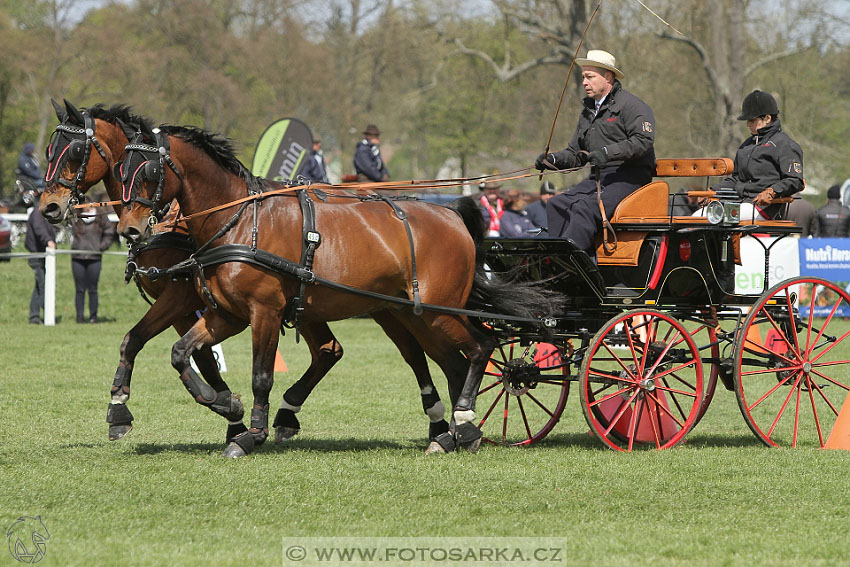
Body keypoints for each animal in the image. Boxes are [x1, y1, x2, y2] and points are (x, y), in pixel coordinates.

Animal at [117, 122, 556, 460]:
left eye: (149, 171)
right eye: (122, 170)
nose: (130, 230)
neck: (241, 221)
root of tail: (450, 213)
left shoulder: (265, 312)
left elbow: (261, 375)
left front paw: (249, 435)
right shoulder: (226, 314)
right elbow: (182, 352)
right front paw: (225, 403)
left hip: (438, 310)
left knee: (481, 347)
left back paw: (463, 422)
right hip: (414, 313)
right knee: (453, 362)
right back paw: (451, 435)